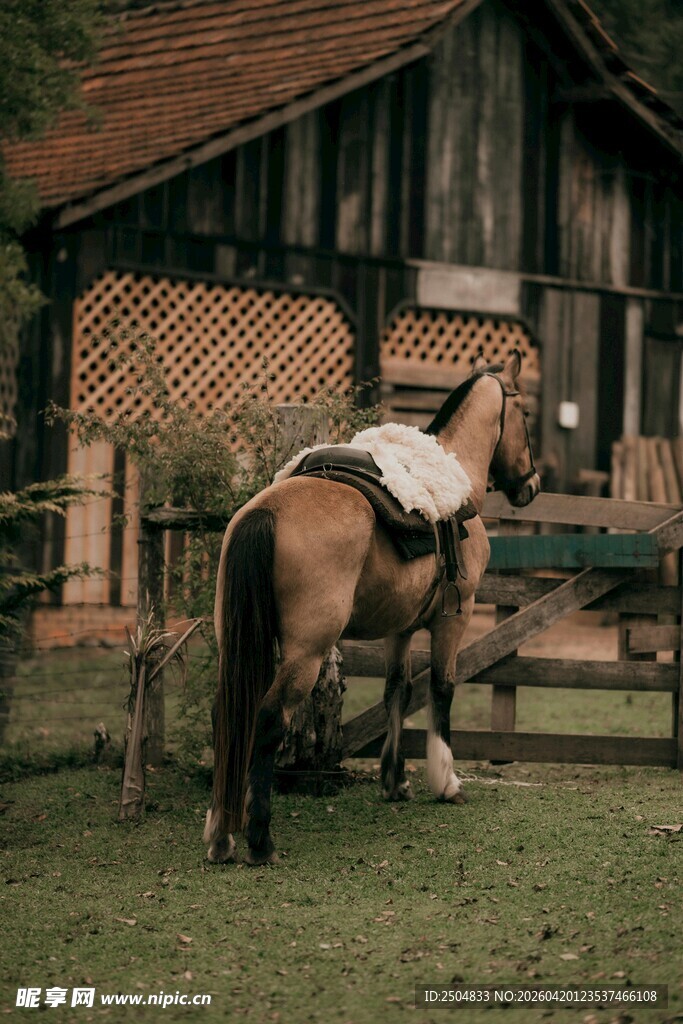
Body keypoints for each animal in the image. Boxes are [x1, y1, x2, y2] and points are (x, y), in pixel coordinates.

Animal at [204, 351, 540, 865]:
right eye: (525, 415)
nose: (533, 485)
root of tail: (267, 512)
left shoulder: (399, 628)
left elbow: (396, 691)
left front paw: (394, 780)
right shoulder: (456, 616)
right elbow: (442, 689)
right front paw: (446, 781)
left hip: (237, 644)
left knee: (228, 715)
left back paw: (222, 834)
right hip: (306, 653)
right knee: (268, 719)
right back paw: (259, 839)